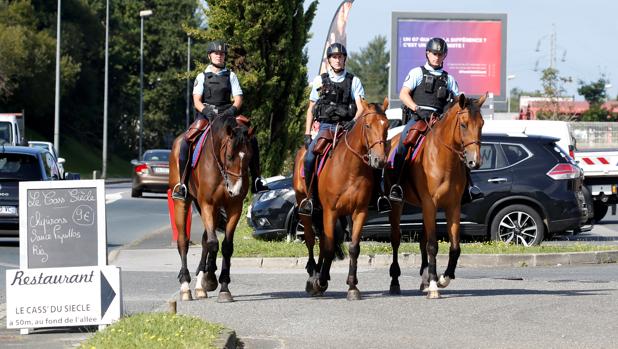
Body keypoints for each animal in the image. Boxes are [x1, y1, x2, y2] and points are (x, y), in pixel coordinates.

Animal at [167, 115, 251, 302]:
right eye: (229, 156)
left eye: (249, 156)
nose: (235, 190)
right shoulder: (208, 204)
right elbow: (213, 243)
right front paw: (211, 279)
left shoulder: (234, 207)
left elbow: (225, 246)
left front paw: (223, 287)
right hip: (183, 202)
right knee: (183, 241)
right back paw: (186, 286)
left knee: (205, 240)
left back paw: (199, 285)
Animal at [292, 98, 388, 300]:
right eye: (368, 125)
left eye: (387, 126)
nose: (380, 160)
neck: (351, 168)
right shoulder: (331, 211)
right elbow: (328, 247)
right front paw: (319, 282)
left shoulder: (359, 212)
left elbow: (353, 247)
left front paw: (352, 286)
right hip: (306, 207)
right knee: (311, 240)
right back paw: (313, 276)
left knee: (322, 239)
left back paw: (322, 273)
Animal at [388, 94, 484, 298]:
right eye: (463, 124)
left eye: (482, 124)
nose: (475, 161)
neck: (444, 159)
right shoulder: (430, 204)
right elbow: (433, 245)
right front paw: (434, 285)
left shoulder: (453, 207)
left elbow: (454, 247)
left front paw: (443, 278)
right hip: (397, 206)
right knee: (396, 239)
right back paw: (395, 282)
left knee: (422, 240)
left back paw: (424, 280)